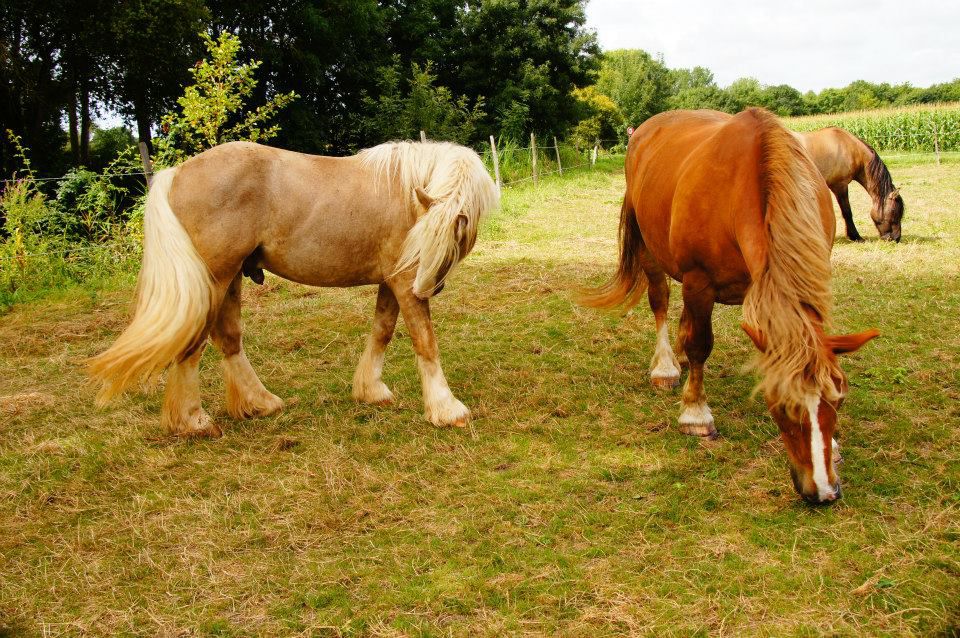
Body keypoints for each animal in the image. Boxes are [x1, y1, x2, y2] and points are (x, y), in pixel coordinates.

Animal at [89, 140, 499, 437]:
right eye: (427, 240)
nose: (428, 288)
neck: (405, 193)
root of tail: (177, 173)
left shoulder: (392, 280)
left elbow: (382, 332)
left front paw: (370, 391)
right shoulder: (402, 280)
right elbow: (424, 341)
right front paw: (447, 410)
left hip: (231, 278)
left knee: (229, 339)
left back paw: (260, 403)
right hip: (214, 280)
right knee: (193, 345)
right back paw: (194, 422)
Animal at [581, 108, 879, 504]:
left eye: (839, 398)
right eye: (780, 404)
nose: (823, 491)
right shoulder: (698, 281)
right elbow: (699, 344)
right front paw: (695, 414)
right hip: (652, 252)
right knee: (661, 304)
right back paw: (666, 367)